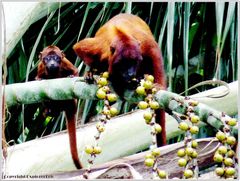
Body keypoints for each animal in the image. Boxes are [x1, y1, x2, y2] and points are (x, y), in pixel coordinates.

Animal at [73, 13, 167, 146]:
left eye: (134, 62)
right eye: (124, 64)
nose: (131, 73)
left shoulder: (142, 44)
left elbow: (154, 52)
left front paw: (158, 85)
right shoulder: (98, 48)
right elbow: (79, 48)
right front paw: (94, 72)